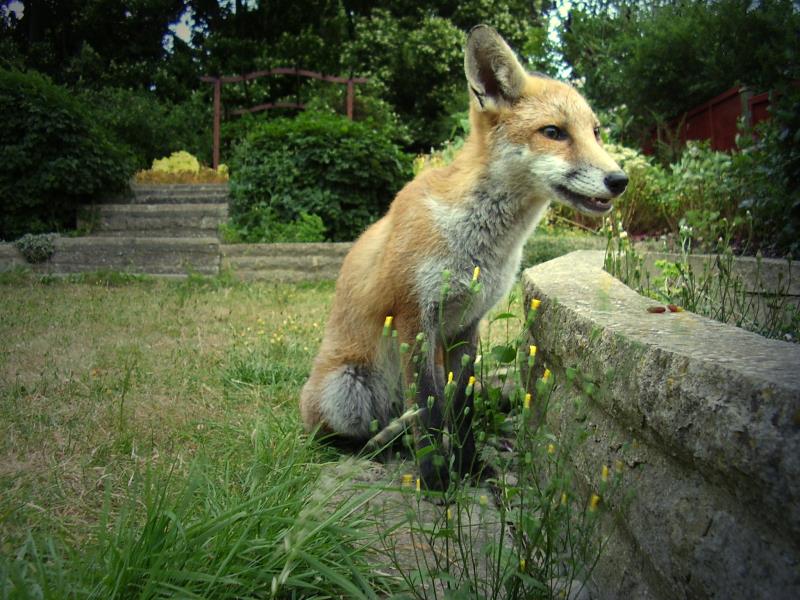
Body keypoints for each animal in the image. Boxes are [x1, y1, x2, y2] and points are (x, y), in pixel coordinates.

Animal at [298, 24, 624, 492]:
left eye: (595, 132)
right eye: (554, 132)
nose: (620, 179)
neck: (478, 246)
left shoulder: (467, 326)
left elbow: (463, 407)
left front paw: (470, 468)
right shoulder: (415, 320)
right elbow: (433, 409)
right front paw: (437, 480)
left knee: (406, 422)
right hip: (345, 388)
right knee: (334, 438)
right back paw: (373, 449)